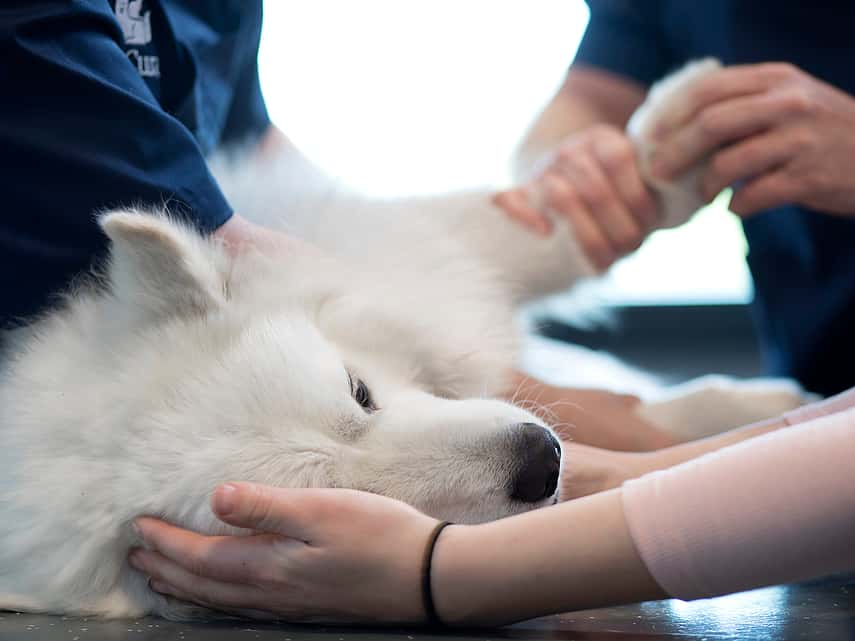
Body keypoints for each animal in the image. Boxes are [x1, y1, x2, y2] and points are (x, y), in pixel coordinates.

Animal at [0, 60, 804, 620]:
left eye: (360, 390)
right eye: (328, 505)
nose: (541, 461)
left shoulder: (407, 252)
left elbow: (538, 231)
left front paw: (677, 142)